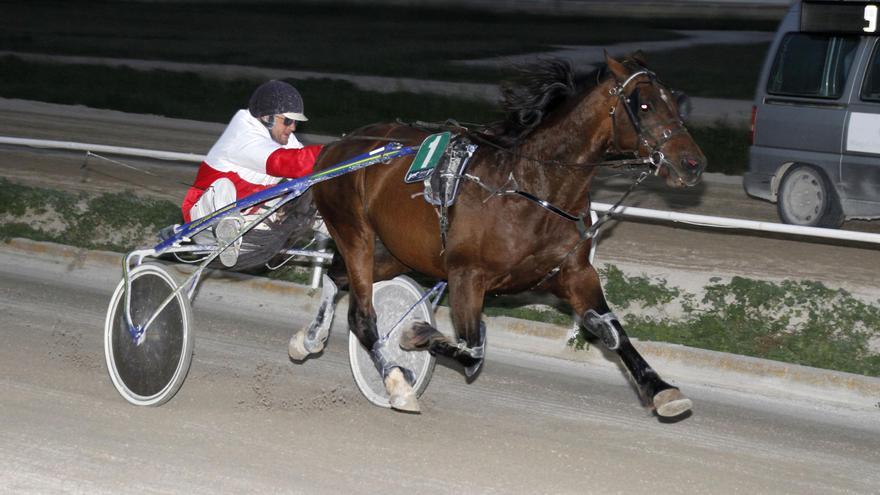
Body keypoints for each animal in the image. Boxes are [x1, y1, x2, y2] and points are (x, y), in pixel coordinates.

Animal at [292, 54, 704, 418]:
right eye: (645, 105)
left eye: (676, 104)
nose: (693, 163)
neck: (532, 186)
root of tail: (338, 145)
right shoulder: (466, 275)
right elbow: (472, 350)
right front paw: (416, 332)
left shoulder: (574, 273)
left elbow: (612, 330)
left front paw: (662, 390)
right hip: (355, 232)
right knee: (362, 315)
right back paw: (397, 383)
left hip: (397, 252)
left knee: (337, 277)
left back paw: (308, 339)